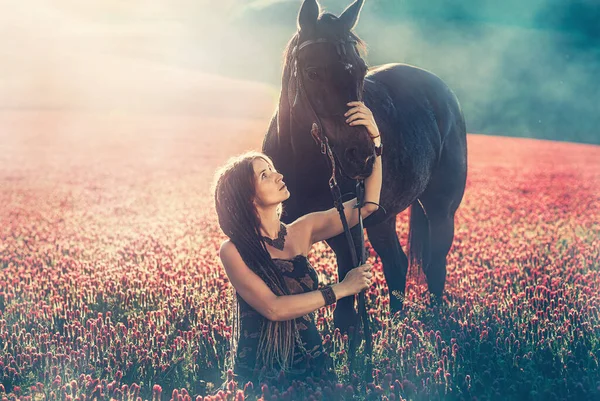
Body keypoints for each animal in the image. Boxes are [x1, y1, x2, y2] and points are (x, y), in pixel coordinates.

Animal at [262, 0, 468, 332]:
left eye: (361, 71)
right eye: (312, 72)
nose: (363, 156)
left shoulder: (347, 236)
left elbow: (346, 315)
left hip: (441, 210)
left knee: (435, 265)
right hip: (383, 217)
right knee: (397, 263)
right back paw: (396, 327)